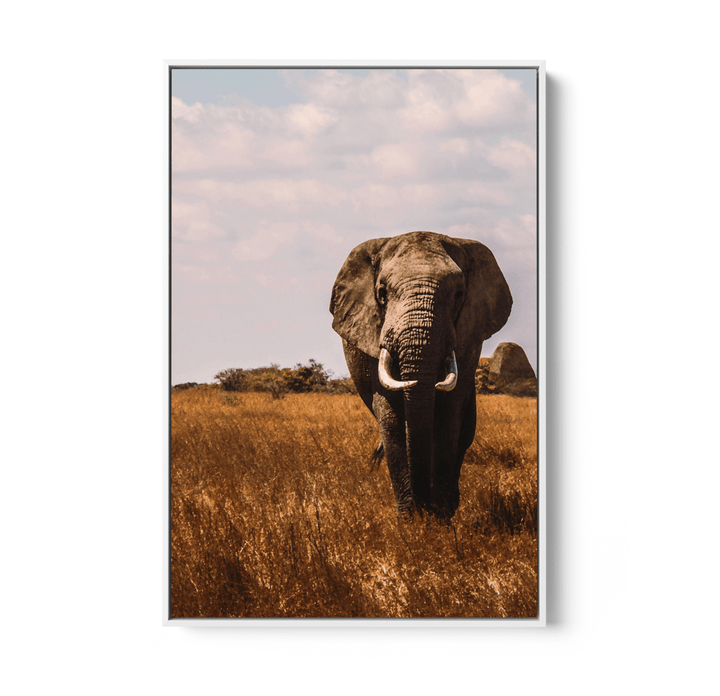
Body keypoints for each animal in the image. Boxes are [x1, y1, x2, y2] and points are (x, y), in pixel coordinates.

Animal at [330, 231, 512, 519]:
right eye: (382, 293)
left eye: (459, 294)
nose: (422, 508)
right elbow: (391, 416)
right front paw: (411, 521)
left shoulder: (468, 339)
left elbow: (450, 414)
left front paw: (439, 518)